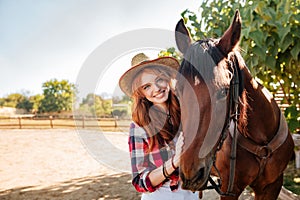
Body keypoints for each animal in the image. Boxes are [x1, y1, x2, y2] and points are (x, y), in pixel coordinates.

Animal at [175, 9, 294, 200]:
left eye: (223, 92)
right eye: (178, 91)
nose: (190, 173)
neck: (261, 144)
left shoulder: (272, 186)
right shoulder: (230, 189)